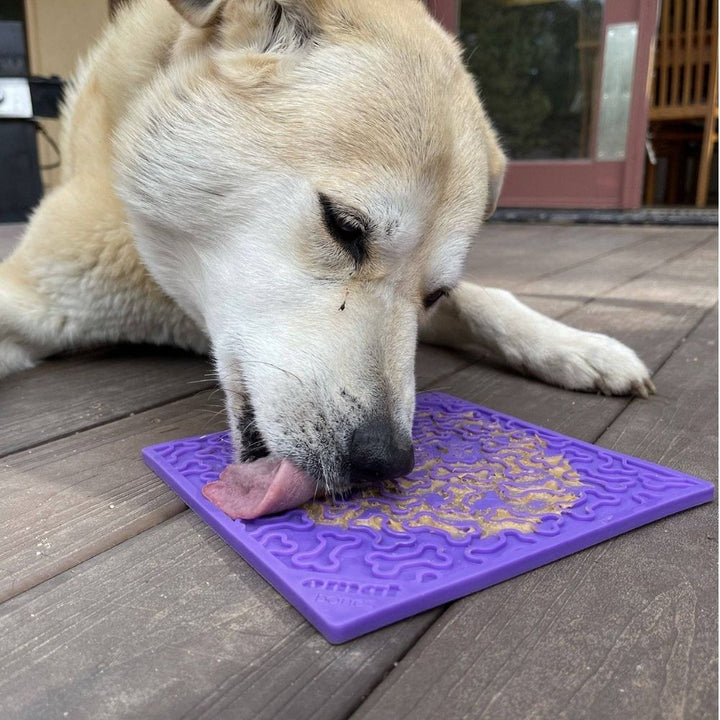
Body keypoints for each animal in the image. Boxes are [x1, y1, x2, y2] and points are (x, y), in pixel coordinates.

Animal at [0, 0, 656, 504]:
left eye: (434, 293)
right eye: (343, 227)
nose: (384, 460)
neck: (179, 302)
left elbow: (488, 300)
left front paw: (581, 347)